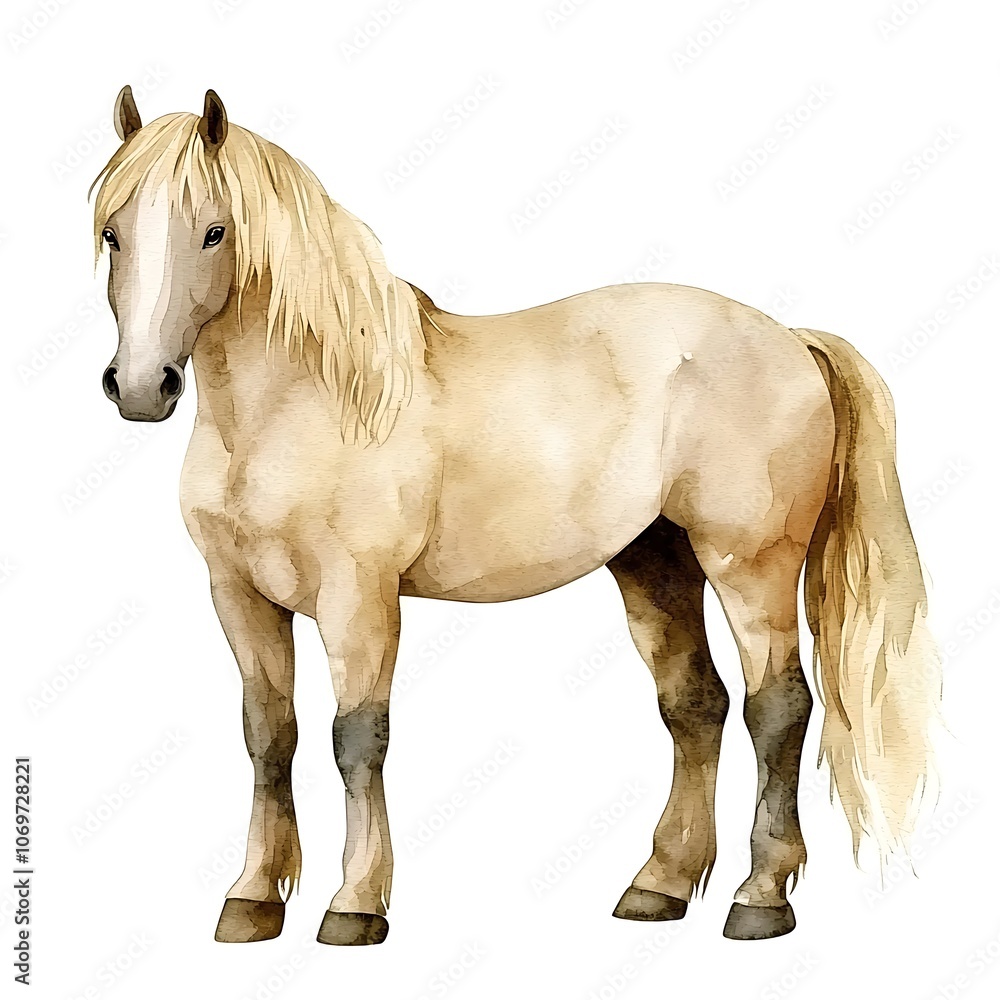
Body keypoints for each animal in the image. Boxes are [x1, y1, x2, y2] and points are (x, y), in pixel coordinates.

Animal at [91, 86, 941, 945]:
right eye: (113, 232)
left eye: (215, 231)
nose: (142, 386)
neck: (307, 403)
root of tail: (792, 340)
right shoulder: (239, 596)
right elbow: (269, 736)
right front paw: (254, 899)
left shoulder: (359, 598)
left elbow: (356, 739)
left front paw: (355, 905)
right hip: (655, 563)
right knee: (696, 708)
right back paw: (659, 886)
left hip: (751, 569)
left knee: (779, 708)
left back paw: (759, 898)